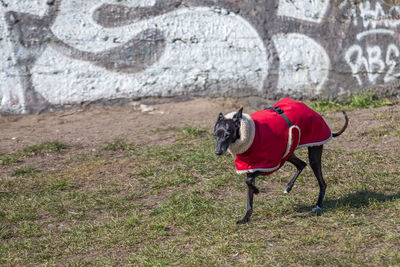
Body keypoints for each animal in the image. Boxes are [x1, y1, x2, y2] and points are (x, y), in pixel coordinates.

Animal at [214, 98, 348, 224]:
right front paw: (246, 218)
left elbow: (249, 181)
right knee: (301, 164)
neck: (248, 135)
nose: (217, 152)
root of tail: (313, 111)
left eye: (227, 134)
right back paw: (288, 187)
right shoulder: (250, 168)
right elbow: (249, 190)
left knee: (322, 182)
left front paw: (256, 190)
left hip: (313, 152)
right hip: (289, 151)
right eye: (214, 135)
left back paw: (318, 205)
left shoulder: (271, 164)